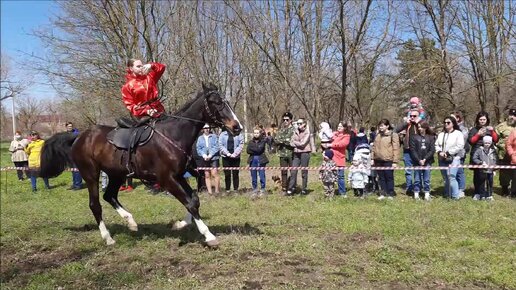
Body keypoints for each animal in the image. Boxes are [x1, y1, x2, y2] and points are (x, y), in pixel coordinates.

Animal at [39, 83, 242, 247]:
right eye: (217, 102)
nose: (237, 127)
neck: (173, 135)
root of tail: (80, 136)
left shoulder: (178, 176)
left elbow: (194, 199)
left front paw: (180, 224)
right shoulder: (167, 179)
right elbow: (190, 202)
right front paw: (209, 236)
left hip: (116, 174)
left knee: (109, 196)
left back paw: (131, 222)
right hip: (91, 174)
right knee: (95, 204)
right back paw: (108, 238)